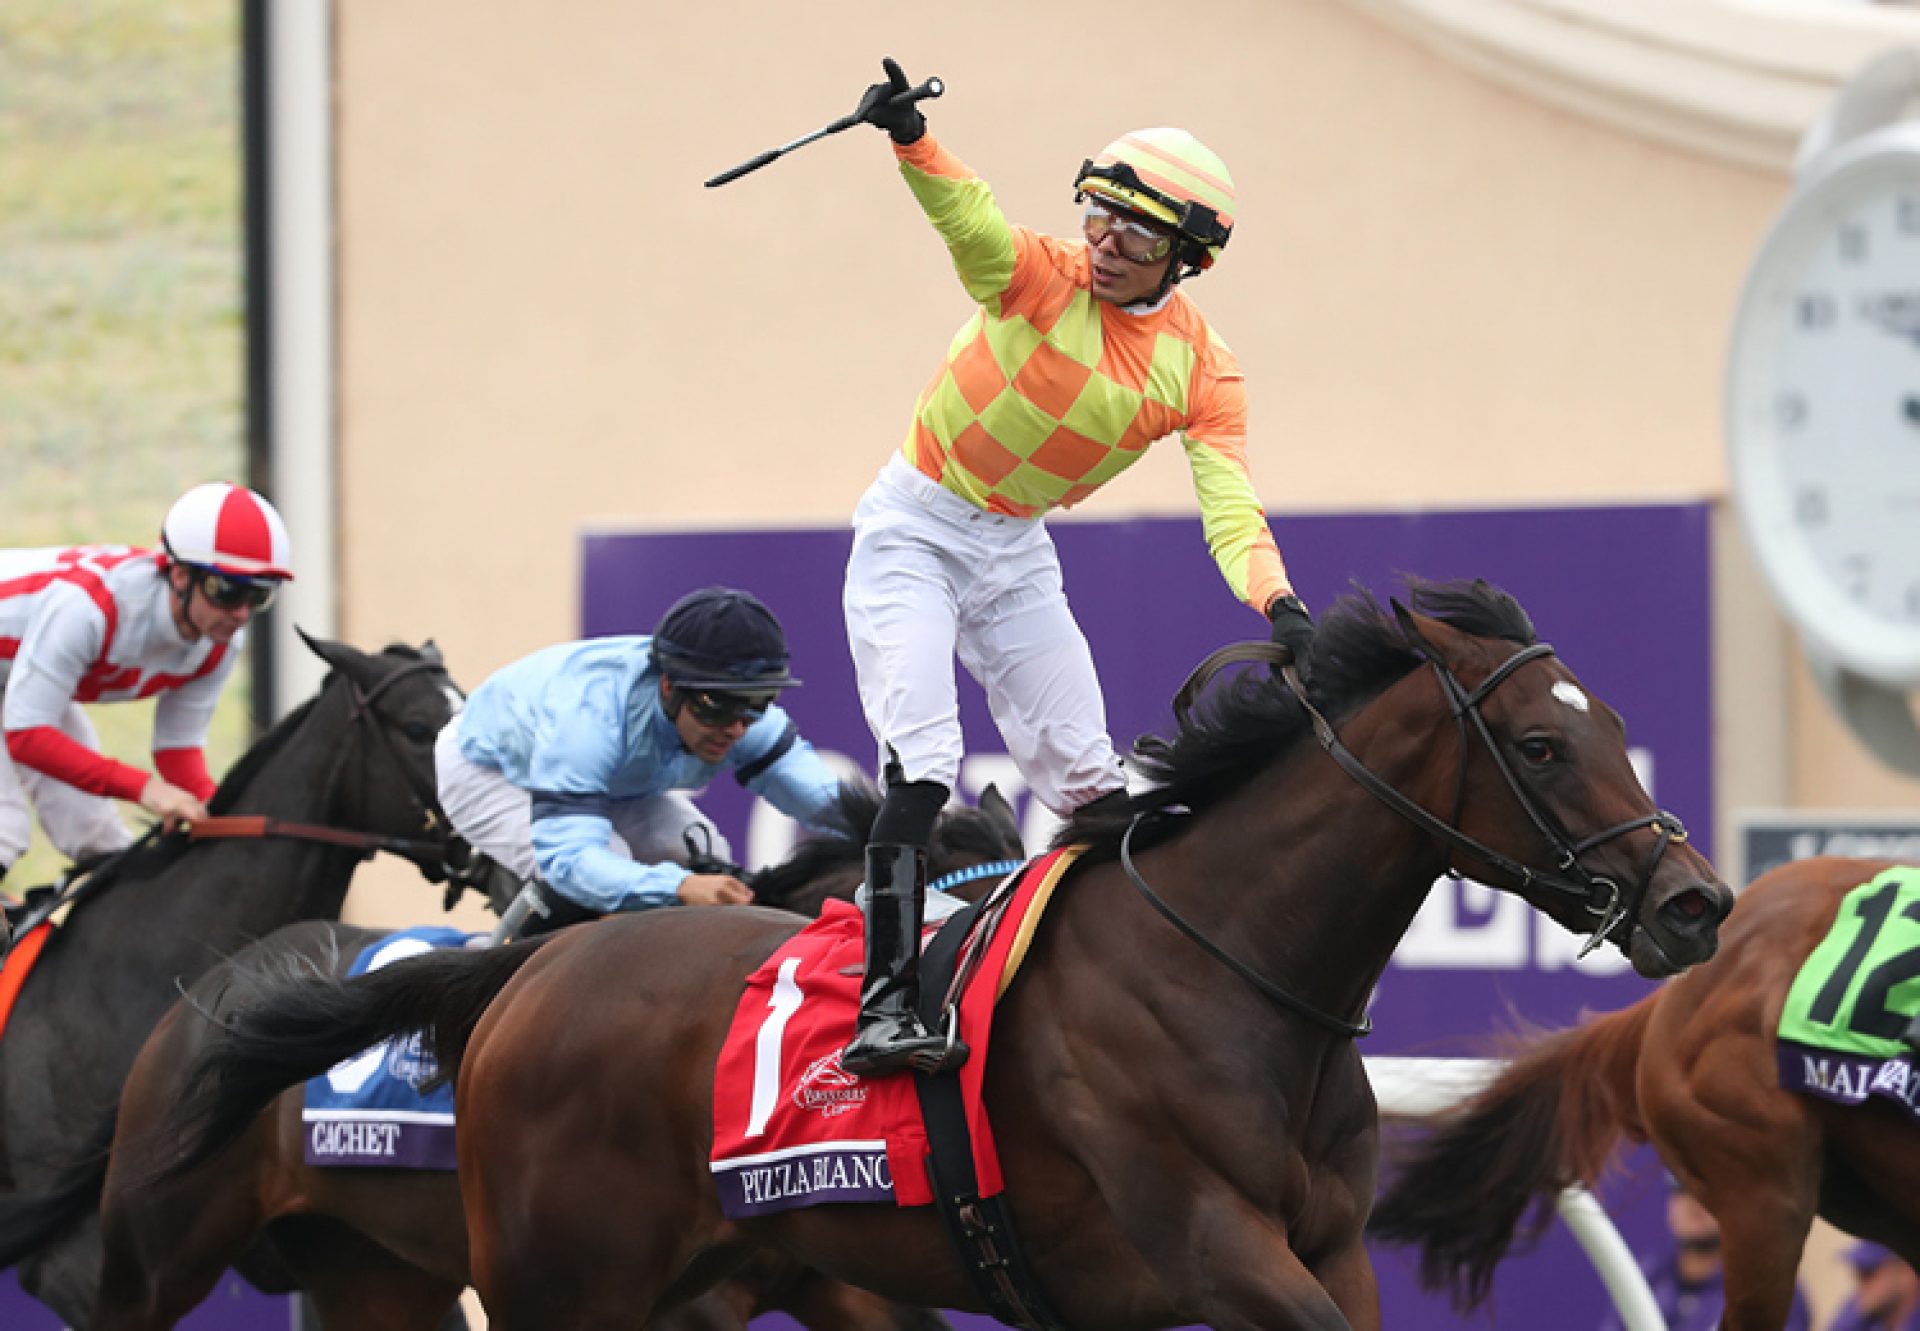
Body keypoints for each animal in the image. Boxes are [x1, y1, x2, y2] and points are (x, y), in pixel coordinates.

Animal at [11, 779, 1021, 1329]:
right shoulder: (680, 1293)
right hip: (156, 1254)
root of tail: (213, 988)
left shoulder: (841, 1280)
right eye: (953, 920)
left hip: (372, 1269)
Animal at [153, 580, 1743, 1329]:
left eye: (1611, 726)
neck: (1226, 970)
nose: (1696, 902)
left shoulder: (1325, 1248)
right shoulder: (1211, 1242)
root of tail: (526, 975)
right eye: (1540, 744)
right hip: (560, 1281)